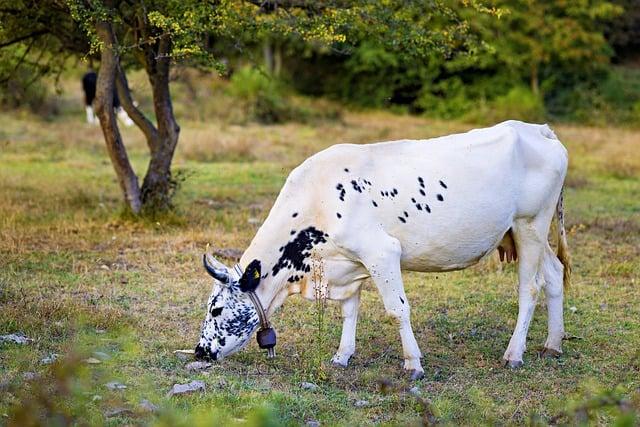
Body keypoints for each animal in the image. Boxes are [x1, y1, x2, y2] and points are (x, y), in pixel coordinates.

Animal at [195, 121, 568, 382]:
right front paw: (342, 356)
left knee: (530, 288)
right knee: (554, 274)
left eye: (216, 309)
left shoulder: (381, 253)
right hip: (529, 232)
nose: (200, 351)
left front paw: (413, 364)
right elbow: (349, 310)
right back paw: (553, 343)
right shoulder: (347, 262)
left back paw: (514, 354)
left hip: (530, 225)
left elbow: (397, 310)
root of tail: (536, 128)